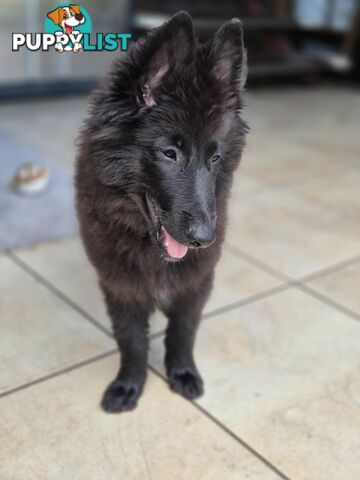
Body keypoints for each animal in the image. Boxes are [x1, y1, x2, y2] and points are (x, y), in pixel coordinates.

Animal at [75, 10, 248, 412]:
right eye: (170, 153)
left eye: (215, 158)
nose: (204, 239)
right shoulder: (121, 288)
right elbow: (132, 341)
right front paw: (128, 384)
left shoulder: (195, 283)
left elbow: (182, 332)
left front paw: (182, 372)